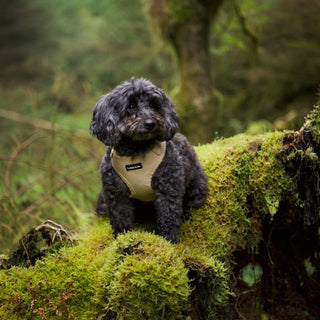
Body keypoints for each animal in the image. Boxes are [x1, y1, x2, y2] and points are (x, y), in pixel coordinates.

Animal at [90, 77, 209, 242]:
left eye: (154, 104)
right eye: (131, 106)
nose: (150, 123)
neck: (137, 151)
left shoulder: (168, 187)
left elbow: (168, 215)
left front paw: (169, 239)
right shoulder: (116, 193)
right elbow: (121, 218)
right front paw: (123, 238)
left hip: (197, 185)